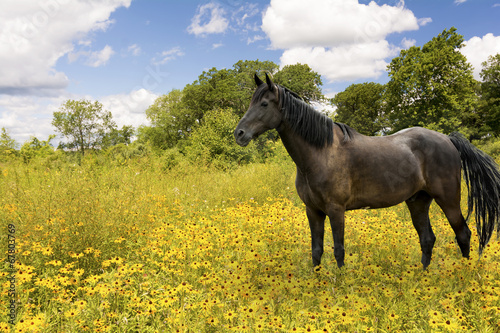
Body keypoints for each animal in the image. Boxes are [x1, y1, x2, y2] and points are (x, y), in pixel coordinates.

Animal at [234, 71, 500, 268]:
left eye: (264, 103)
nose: (239, 134)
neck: (321, 152)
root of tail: (448, 139)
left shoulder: (336, 209)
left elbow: (338, 250)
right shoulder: (313, 211)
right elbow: (316, 250)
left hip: (448, 199)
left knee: (463, 234)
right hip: (418, 200)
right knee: (427, 239)